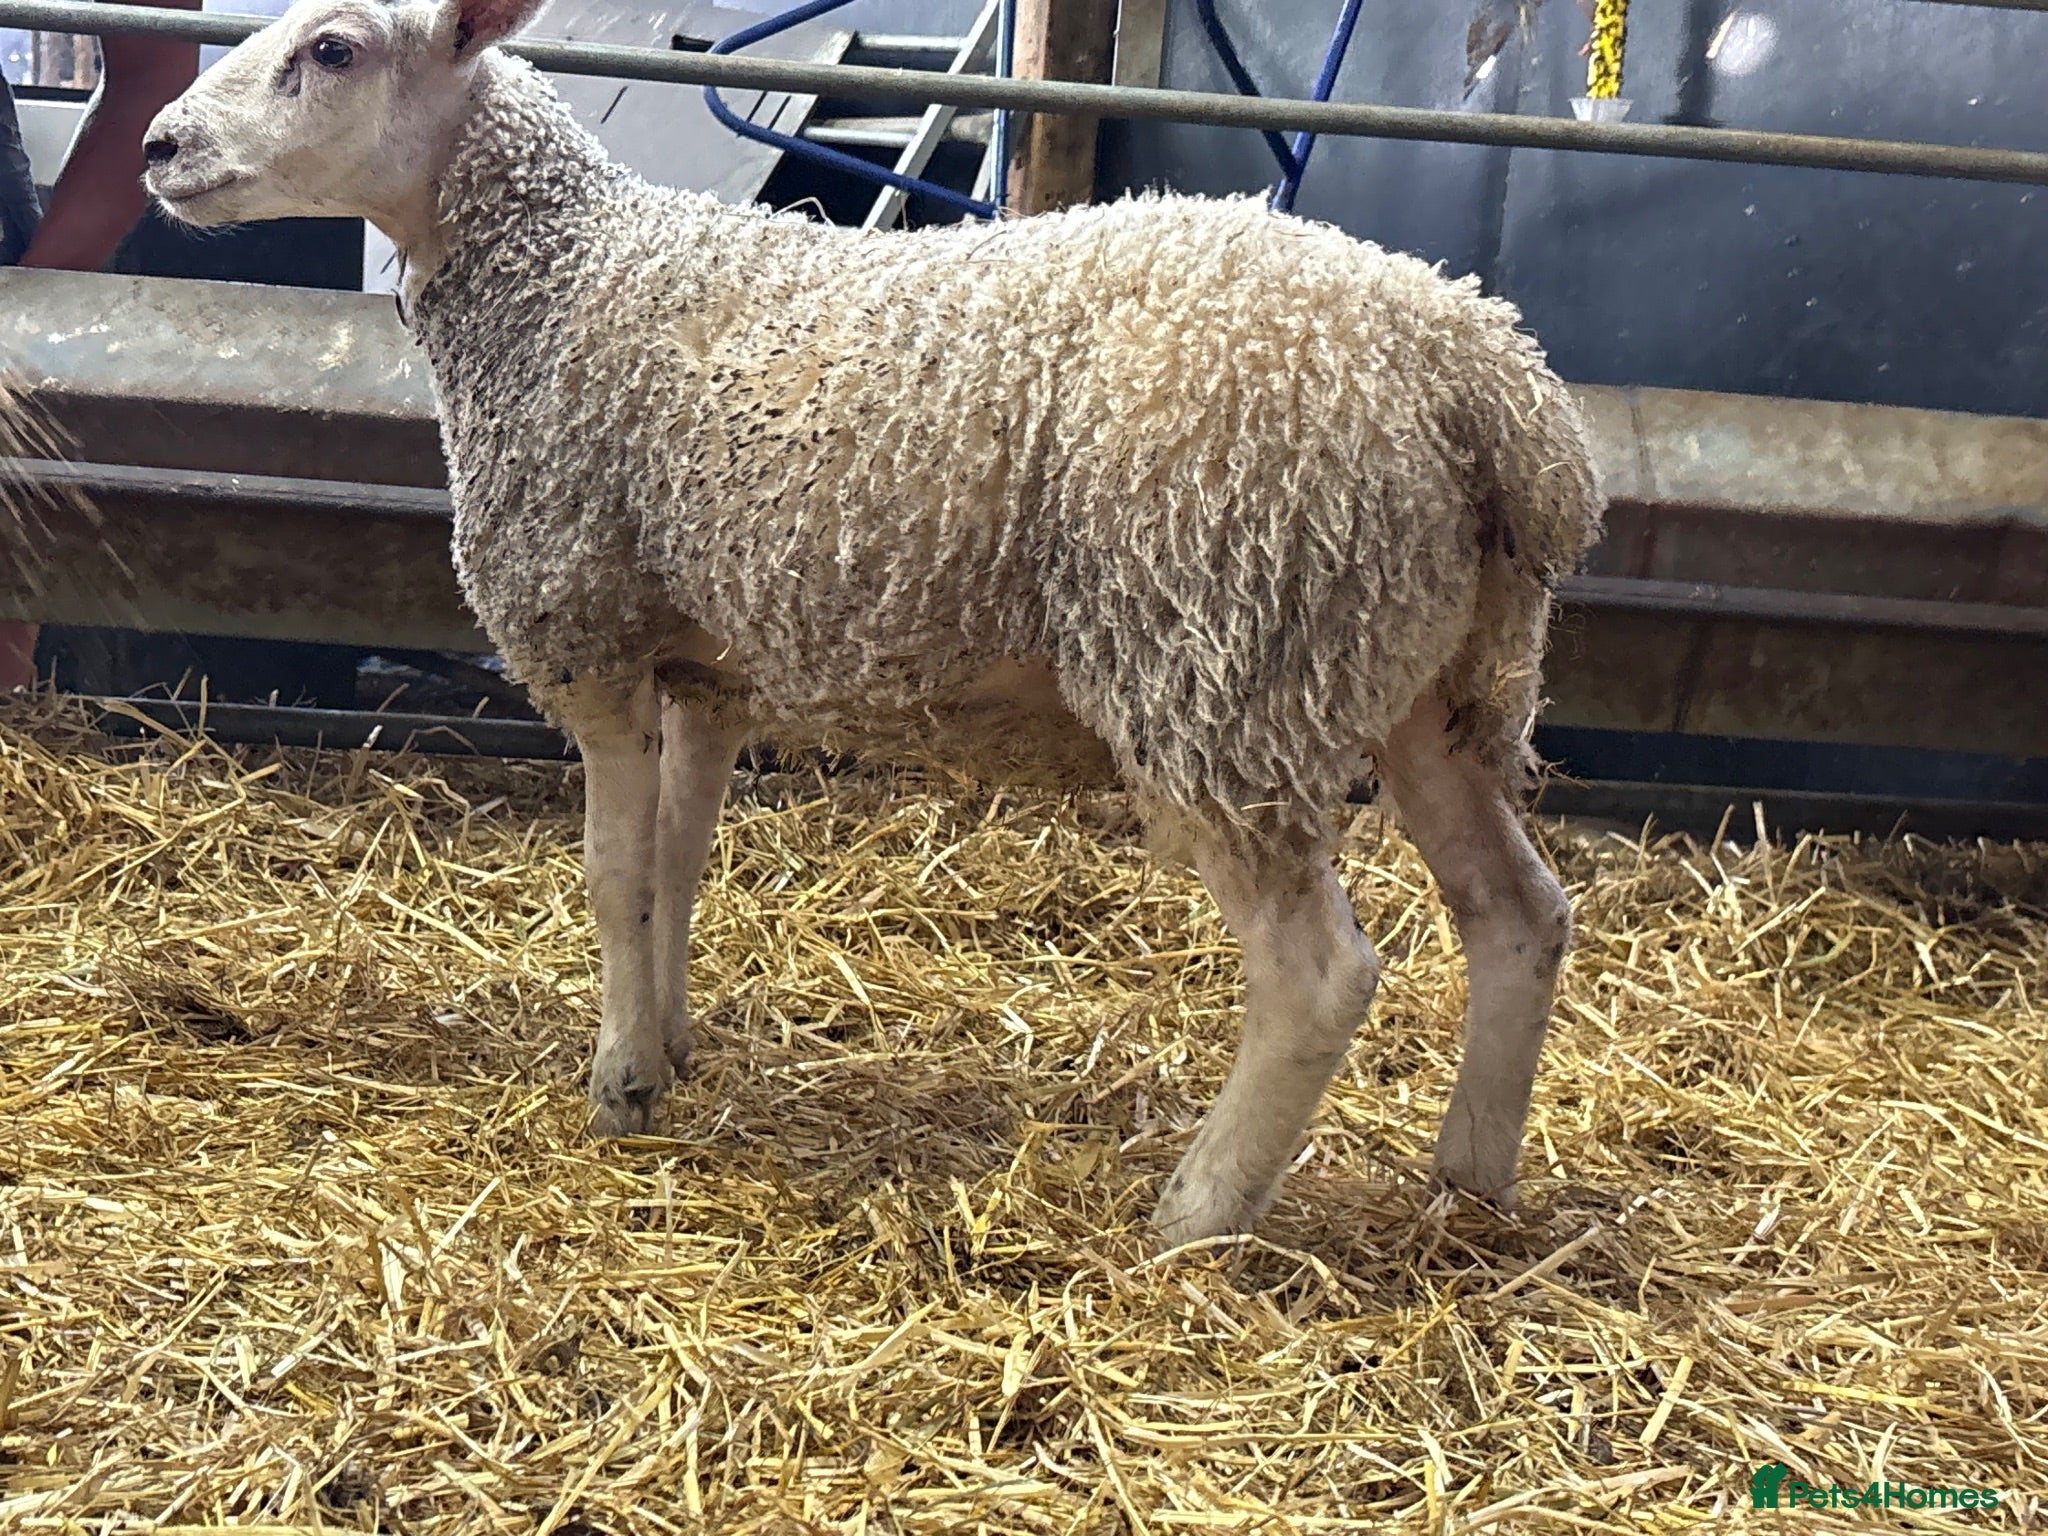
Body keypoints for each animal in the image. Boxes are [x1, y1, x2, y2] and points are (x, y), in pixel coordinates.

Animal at [141, 0, 1605, 1245]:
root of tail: (1492, 382)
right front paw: (670, 1047)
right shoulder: (705, 665)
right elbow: (677, 870)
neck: (566, 274)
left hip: (1222, 657)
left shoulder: (588, 629)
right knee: (1519, 915)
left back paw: (1198, 1212)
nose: (158, 145)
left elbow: (612, 877)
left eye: (331, 49)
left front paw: (617, 1082)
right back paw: (1471, 1181)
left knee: (1320, 974)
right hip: (1422, 673)